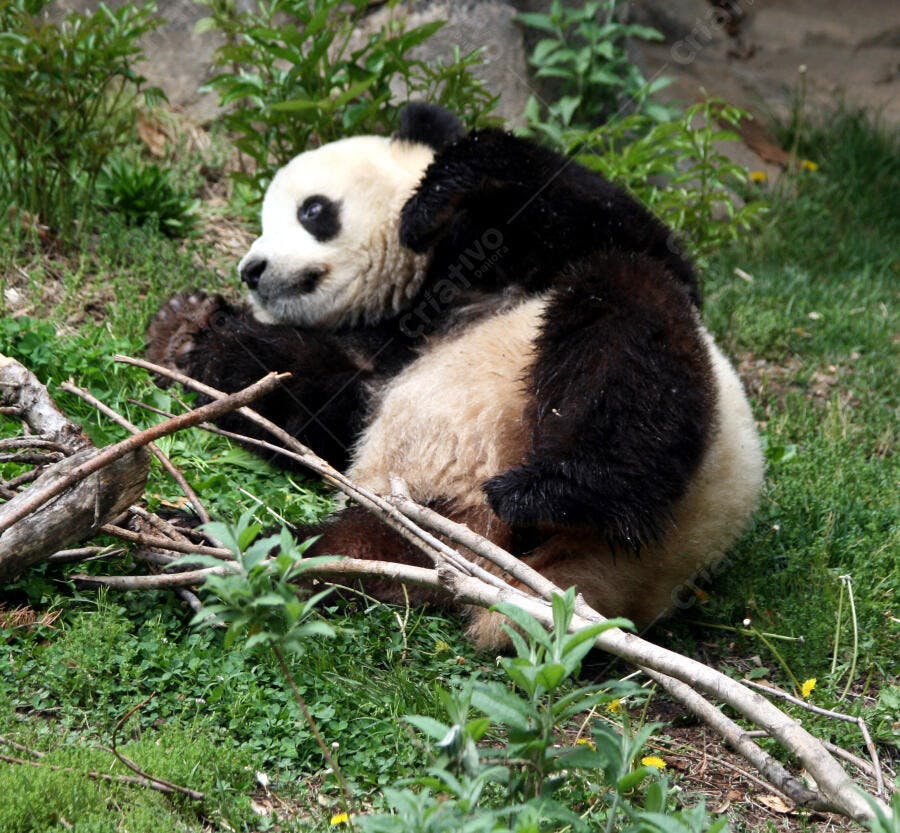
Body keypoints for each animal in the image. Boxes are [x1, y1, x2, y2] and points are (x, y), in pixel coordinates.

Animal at [147, 102, 764, 650]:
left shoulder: (544, 239)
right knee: (336, 550)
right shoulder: (392, 348)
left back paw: (560, 487)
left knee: (625, 322)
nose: (252, 270)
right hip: (413, 526)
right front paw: (185, 332)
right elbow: (323, 402)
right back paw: (197, 541)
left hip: (682, 438)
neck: (429, 284)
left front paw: (429, 201)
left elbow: (611, 221)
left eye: (313, 211)